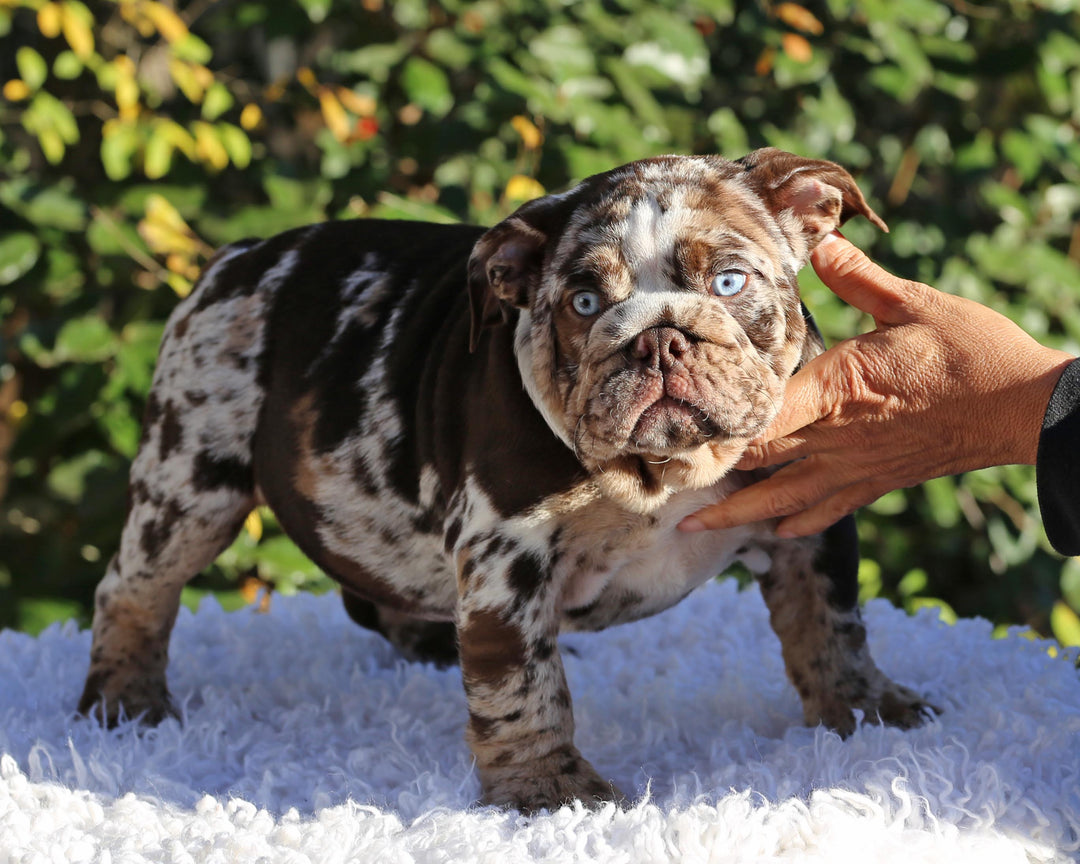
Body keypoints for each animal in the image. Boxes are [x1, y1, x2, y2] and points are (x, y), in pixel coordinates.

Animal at [79, 146, 933, 812]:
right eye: (582, 302)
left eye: (729, 283)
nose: (655, 339)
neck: (661, 473)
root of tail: (241, 256)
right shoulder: (508, 559)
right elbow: (520, 683)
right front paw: (548, 791)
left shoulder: (809, 523)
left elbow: (831, 625)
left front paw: (868, 712)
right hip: (192, 475)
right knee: (136, 587)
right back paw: (125, 702)